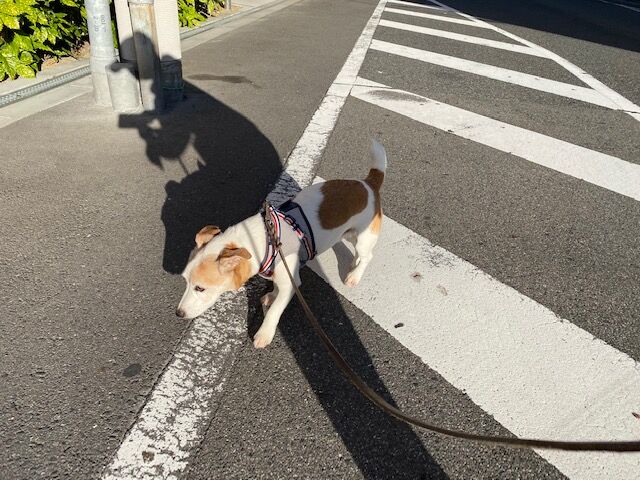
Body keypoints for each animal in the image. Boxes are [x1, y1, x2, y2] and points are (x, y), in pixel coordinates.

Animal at [176, 140, 387, 348]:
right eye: (185, 281)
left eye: (200, 288)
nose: (179, 314)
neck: (266, 241)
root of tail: (369, 183)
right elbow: (276, 289)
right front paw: (272, 295)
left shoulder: (291, 282)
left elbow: (275, 310)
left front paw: (264, 333)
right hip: (350, 234)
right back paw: (353, 263)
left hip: (364, 237)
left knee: (368, 256)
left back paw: (354, 276)